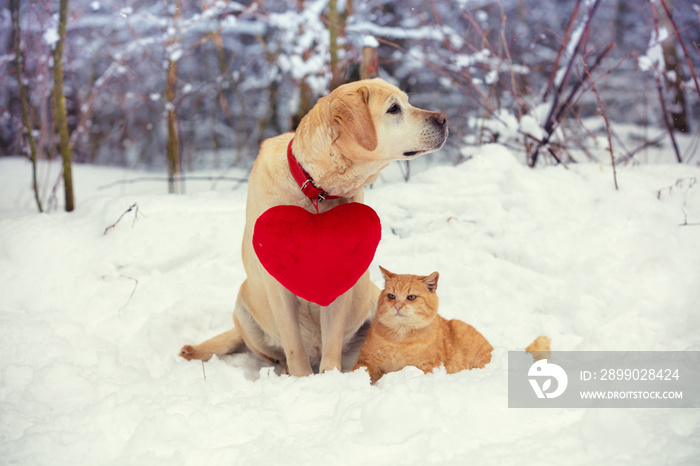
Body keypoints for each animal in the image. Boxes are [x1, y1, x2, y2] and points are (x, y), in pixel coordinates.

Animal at [180, 78, 448, 376]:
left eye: (407, 102)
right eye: (393, 109)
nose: (444, 118)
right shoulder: (277, 282)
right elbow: (293, 344)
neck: (316, 191)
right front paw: (302, 378)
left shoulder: (341, 275)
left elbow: (332, 341)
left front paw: (328, 377)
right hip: (243, 307)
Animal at [356, 268, 492, 384]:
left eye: (411, 297)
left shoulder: (425, 367)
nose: (397, 306)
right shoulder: (367, 361)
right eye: (391, 296)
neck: (400, 339)